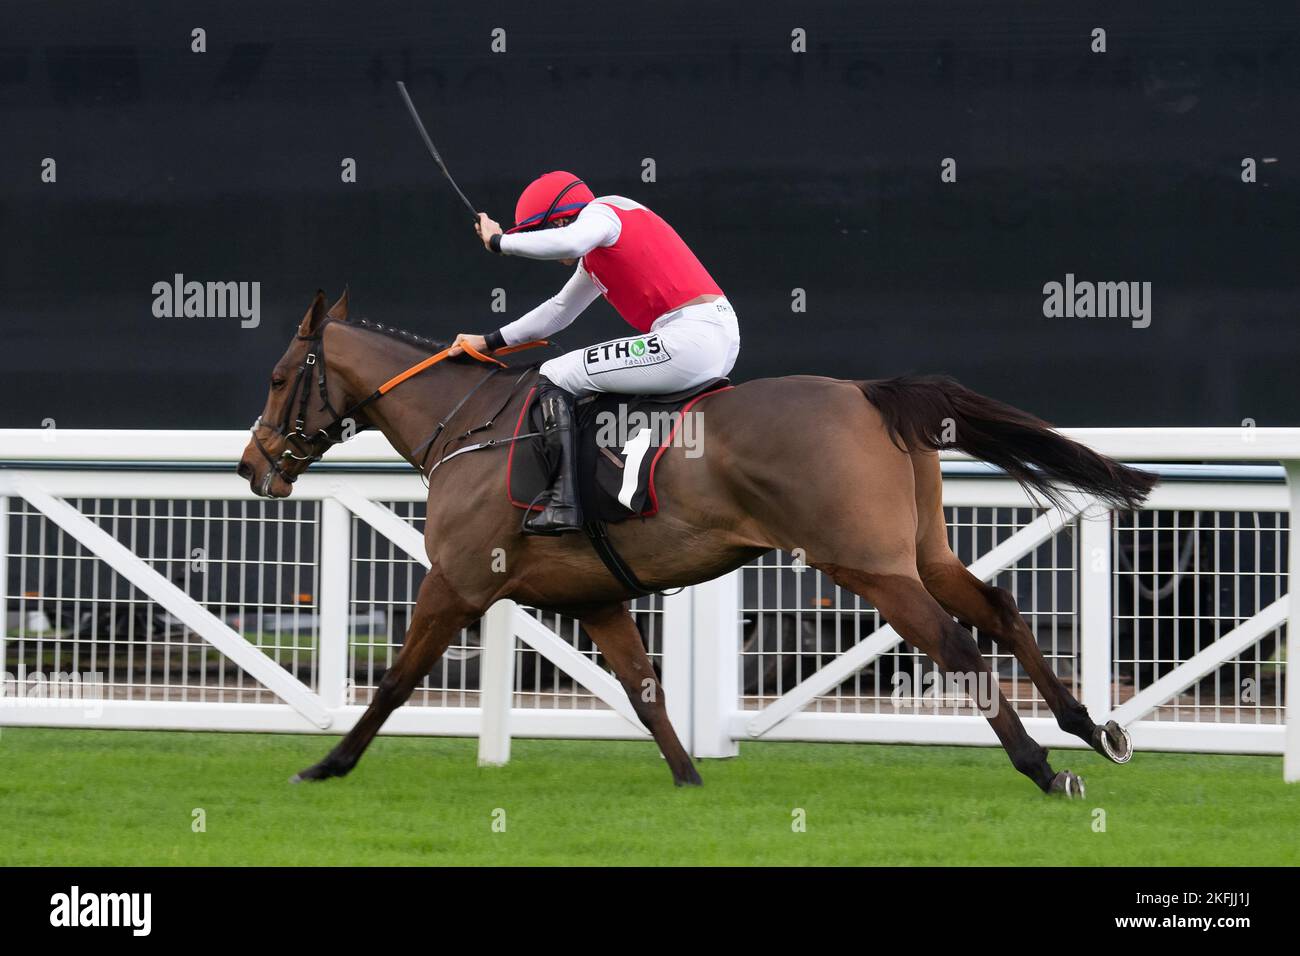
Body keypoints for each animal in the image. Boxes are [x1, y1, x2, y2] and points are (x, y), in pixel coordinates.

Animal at [239, 290, 1154, 790]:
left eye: (281, 378)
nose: (253, 466)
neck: (472, 428)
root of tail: (865, 391)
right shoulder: (598, 597)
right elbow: (647, 694)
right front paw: (689, 780)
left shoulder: (458, 581)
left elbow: (394, 682)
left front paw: (326, 766)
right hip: (921, 552)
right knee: (999, 609)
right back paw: (1090, 728)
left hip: (865, 564)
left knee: (954, 646)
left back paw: (1043, 768)